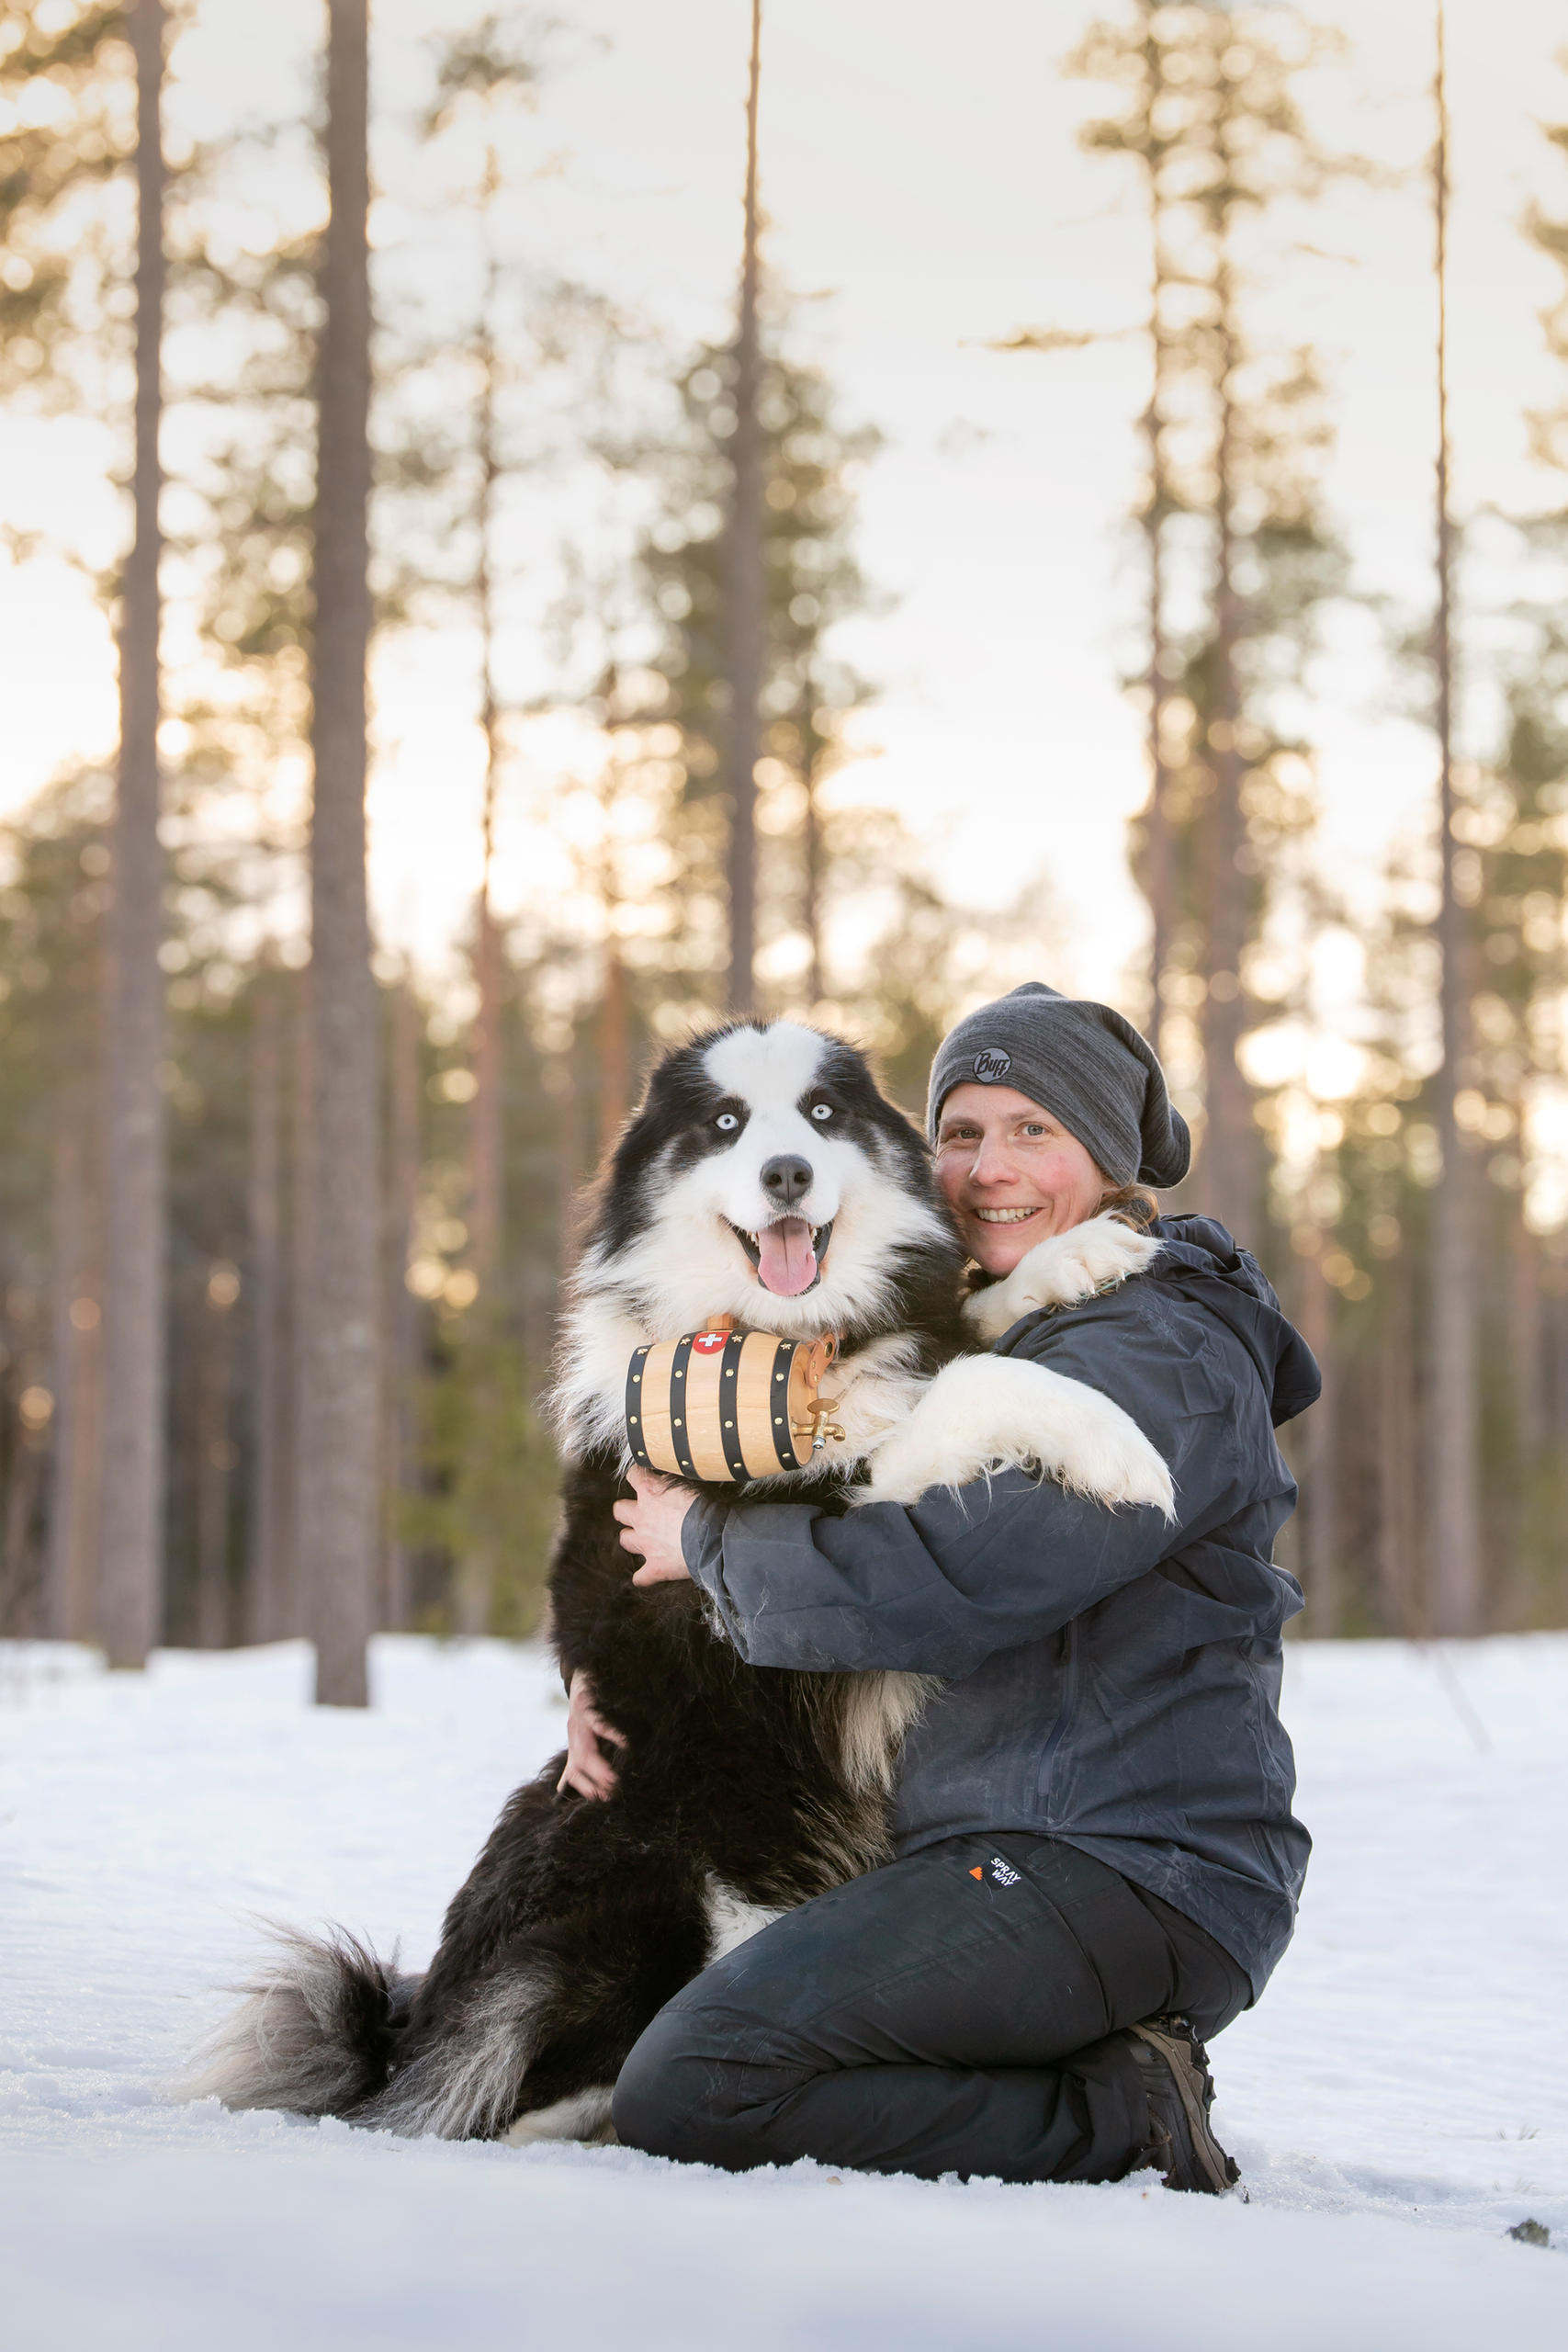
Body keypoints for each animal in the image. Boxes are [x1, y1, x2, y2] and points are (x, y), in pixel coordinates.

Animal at [196, 1021, 1170, 2144]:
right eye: (725, 1124)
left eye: (824, 1113)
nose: (786, 1172)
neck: (786, 1341)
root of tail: (408, 2027)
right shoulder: (790, 1522)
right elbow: (963, 1387)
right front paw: (1114, 1442)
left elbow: (963, 1324)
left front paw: (1074, 1255)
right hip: (643, 1914)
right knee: (515, 2093)